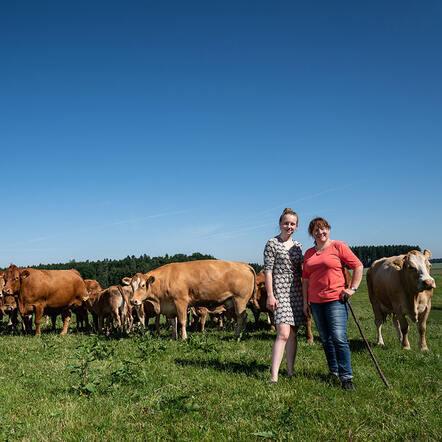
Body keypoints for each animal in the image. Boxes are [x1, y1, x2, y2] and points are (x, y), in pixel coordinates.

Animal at [123, 258, 256, 338]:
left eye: (143, 285)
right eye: (131, 286)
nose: (133, 301)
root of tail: (244, 265)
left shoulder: (181, 302)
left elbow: (182, 321)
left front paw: (183, 337)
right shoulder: (170, 306)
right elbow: (173, 323)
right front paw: (173, 338)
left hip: (240, 300)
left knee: (241, 317)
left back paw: (237, 336)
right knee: (243, 316)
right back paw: (243, 334)